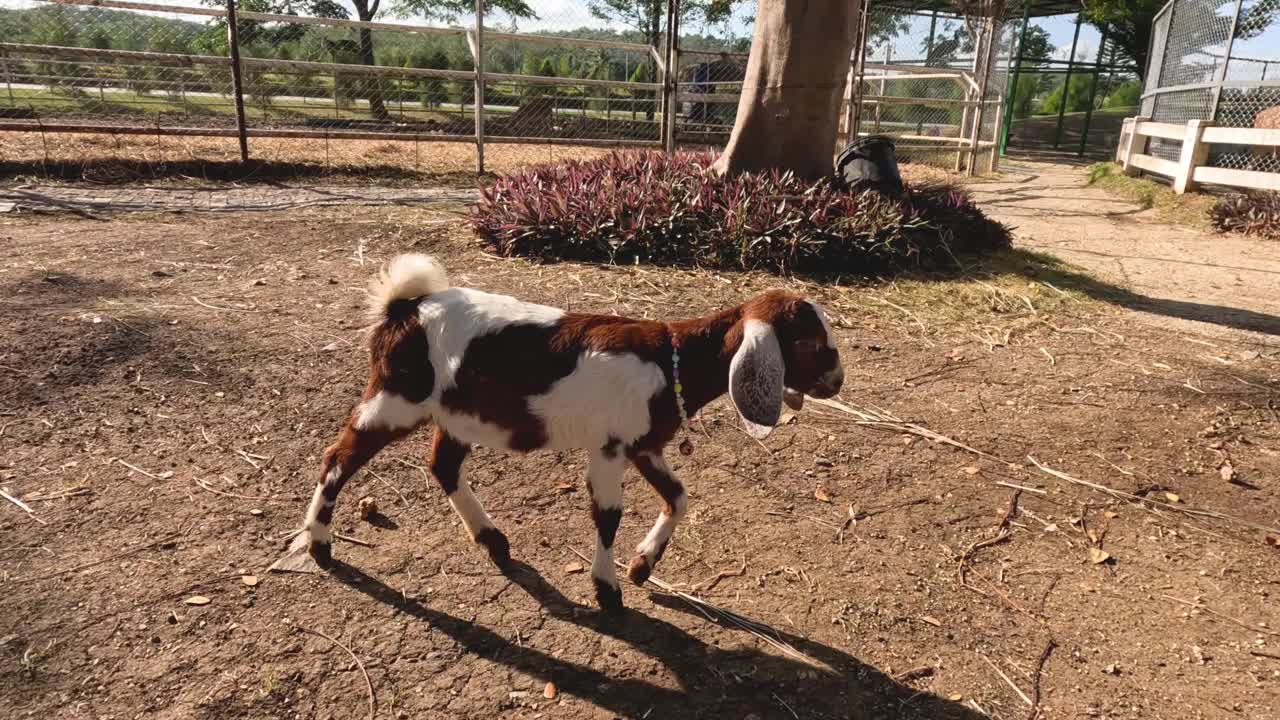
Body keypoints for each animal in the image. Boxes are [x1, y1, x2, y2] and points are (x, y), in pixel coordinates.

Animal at [272, 253, 839, 609]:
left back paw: (494, 543)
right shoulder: (609, 448)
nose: (837, 382)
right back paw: (320, 546)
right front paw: (608, 591)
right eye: (811, 344)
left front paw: (642, 567)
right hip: (395, 398)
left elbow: (678, 497)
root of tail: (403, 309)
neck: (672, 359)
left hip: (457, 412)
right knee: (338, 457)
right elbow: (608, 516)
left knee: (443, 466)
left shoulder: (643, 445)